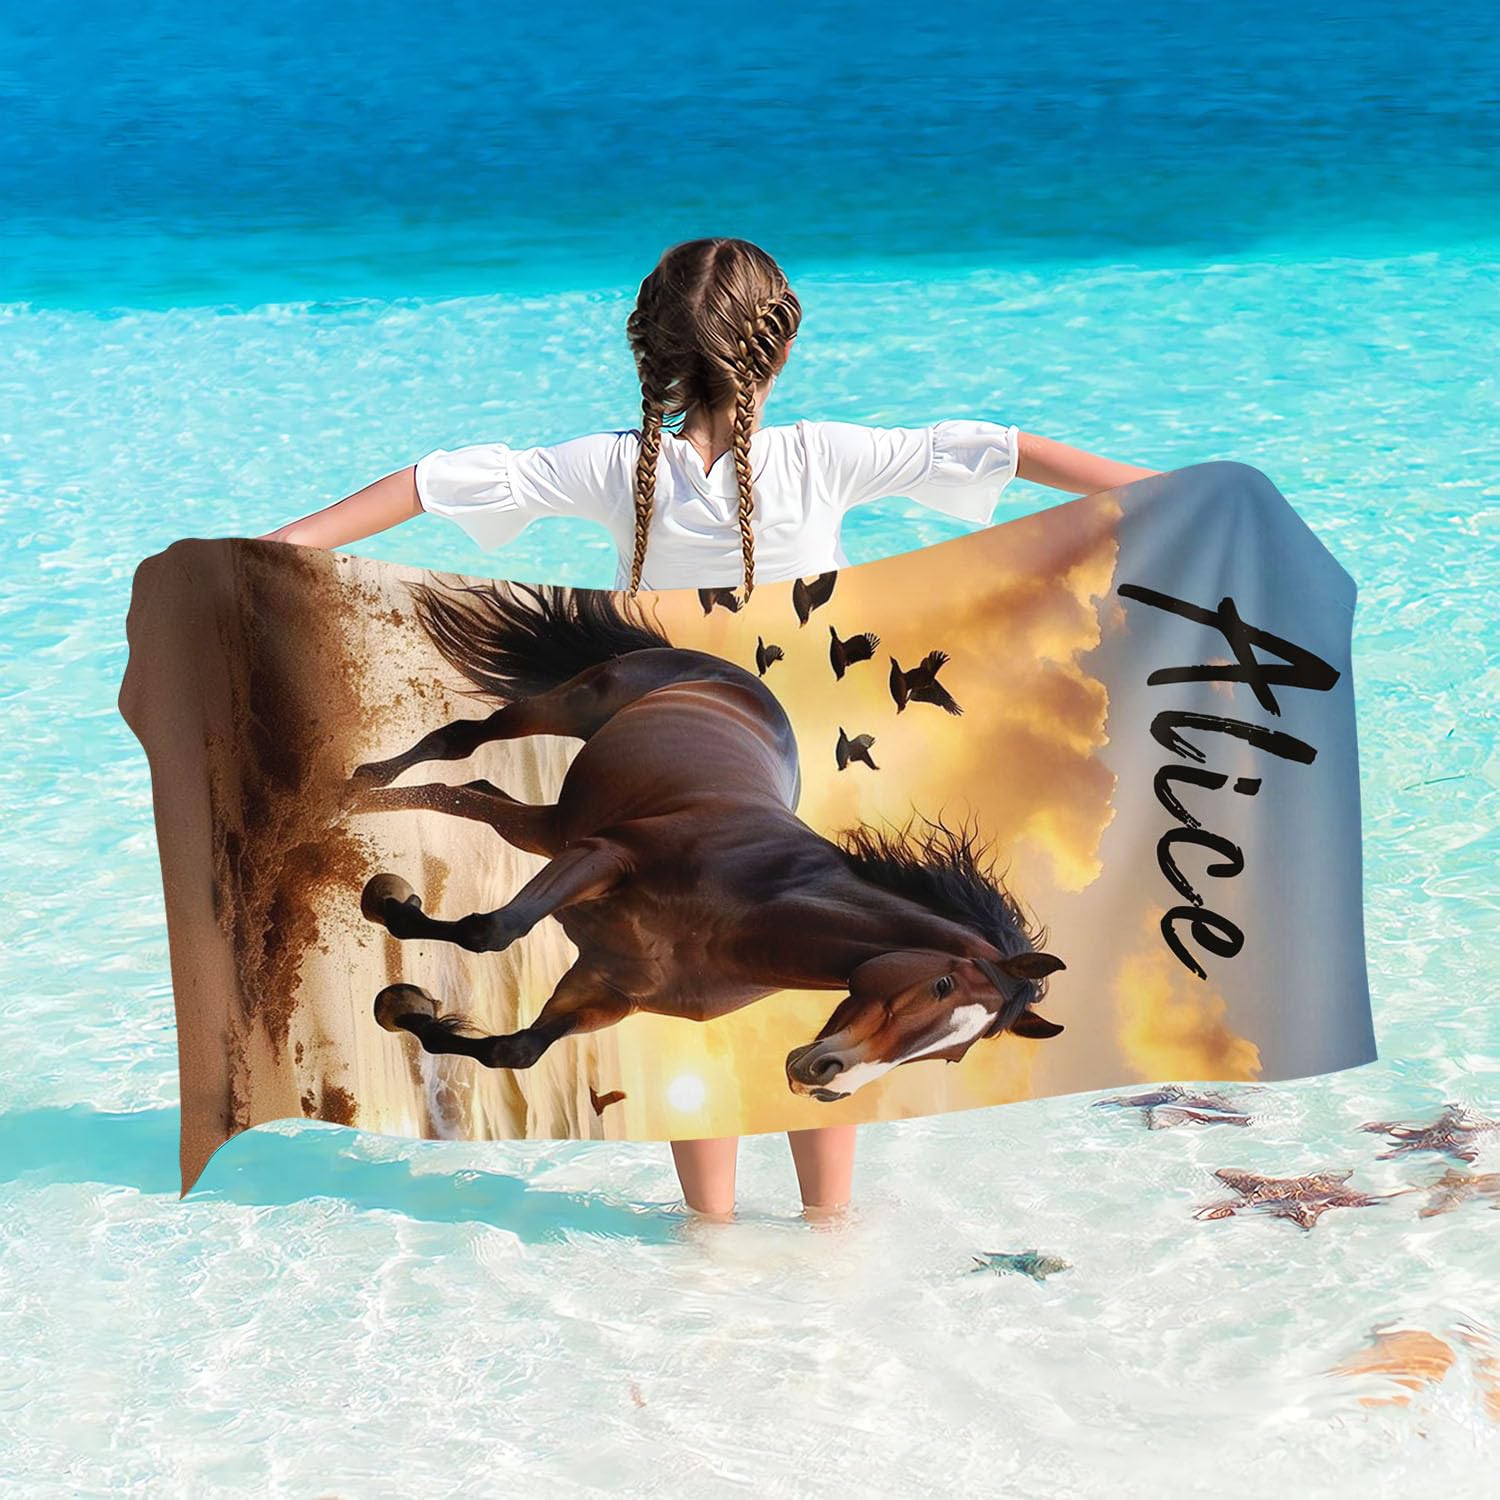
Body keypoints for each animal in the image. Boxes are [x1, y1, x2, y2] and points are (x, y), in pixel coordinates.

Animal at [350, 578, 1066, 1102]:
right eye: (942, 986)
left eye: (956, 1053)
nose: (826, 1081)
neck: (736, 917)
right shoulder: (602, 858)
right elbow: (490, 932)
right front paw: (388, 906)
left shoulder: (609, 988)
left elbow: (515, 1050)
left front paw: (405, 1008)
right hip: (568, 711)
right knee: (459, 747)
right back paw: (355, 789)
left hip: (554, 829)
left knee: (480, 796)